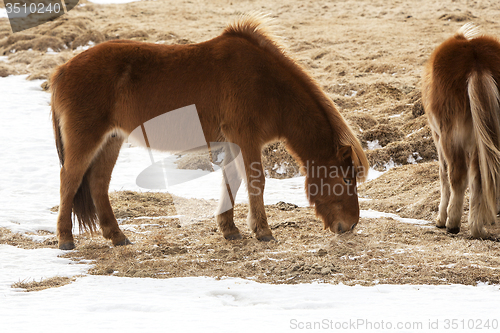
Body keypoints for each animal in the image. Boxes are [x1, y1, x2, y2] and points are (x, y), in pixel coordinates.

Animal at [50, 14, 370, 249]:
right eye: (345, 178)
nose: (351, 225)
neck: (265, 83)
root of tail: (62, 71)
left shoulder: (232, 143)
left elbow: (231, 182)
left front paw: (230, 229)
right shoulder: (245, 139)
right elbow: (255, 182)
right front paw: (263, 231)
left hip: (111, 140)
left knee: (97, 183)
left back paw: (117, 237)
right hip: (87, 139)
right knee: (69, 179)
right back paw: (65, 239)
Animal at [422, 23, 500, 237]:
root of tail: (476, 63)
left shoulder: (438, 137)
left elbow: (443, 175)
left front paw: (440, 219)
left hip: (451, 137)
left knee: (458, 176)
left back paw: (452, 223)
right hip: (480, 139)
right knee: (480, 177)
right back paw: (477, 227)